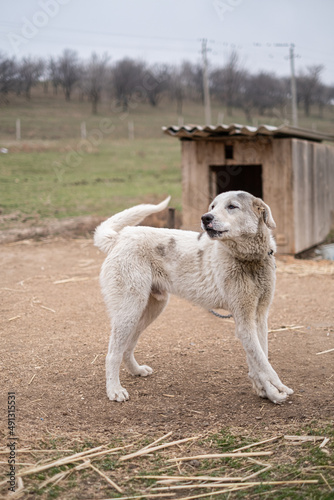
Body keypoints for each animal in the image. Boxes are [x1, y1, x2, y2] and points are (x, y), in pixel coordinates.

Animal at [93, 192, 292, 406]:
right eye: (212, 207)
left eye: (232, 206)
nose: (206, 218)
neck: (249, 259)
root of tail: (120, 237)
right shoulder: (244, 322)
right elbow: (263, 363)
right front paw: (277, 389)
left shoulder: (258, 317)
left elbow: (259, 358)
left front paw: (264, 391)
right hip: (129, 311)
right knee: (112, 354)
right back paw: (114, 390)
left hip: (148, 310)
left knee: (127, 347)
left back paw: (136, 371)